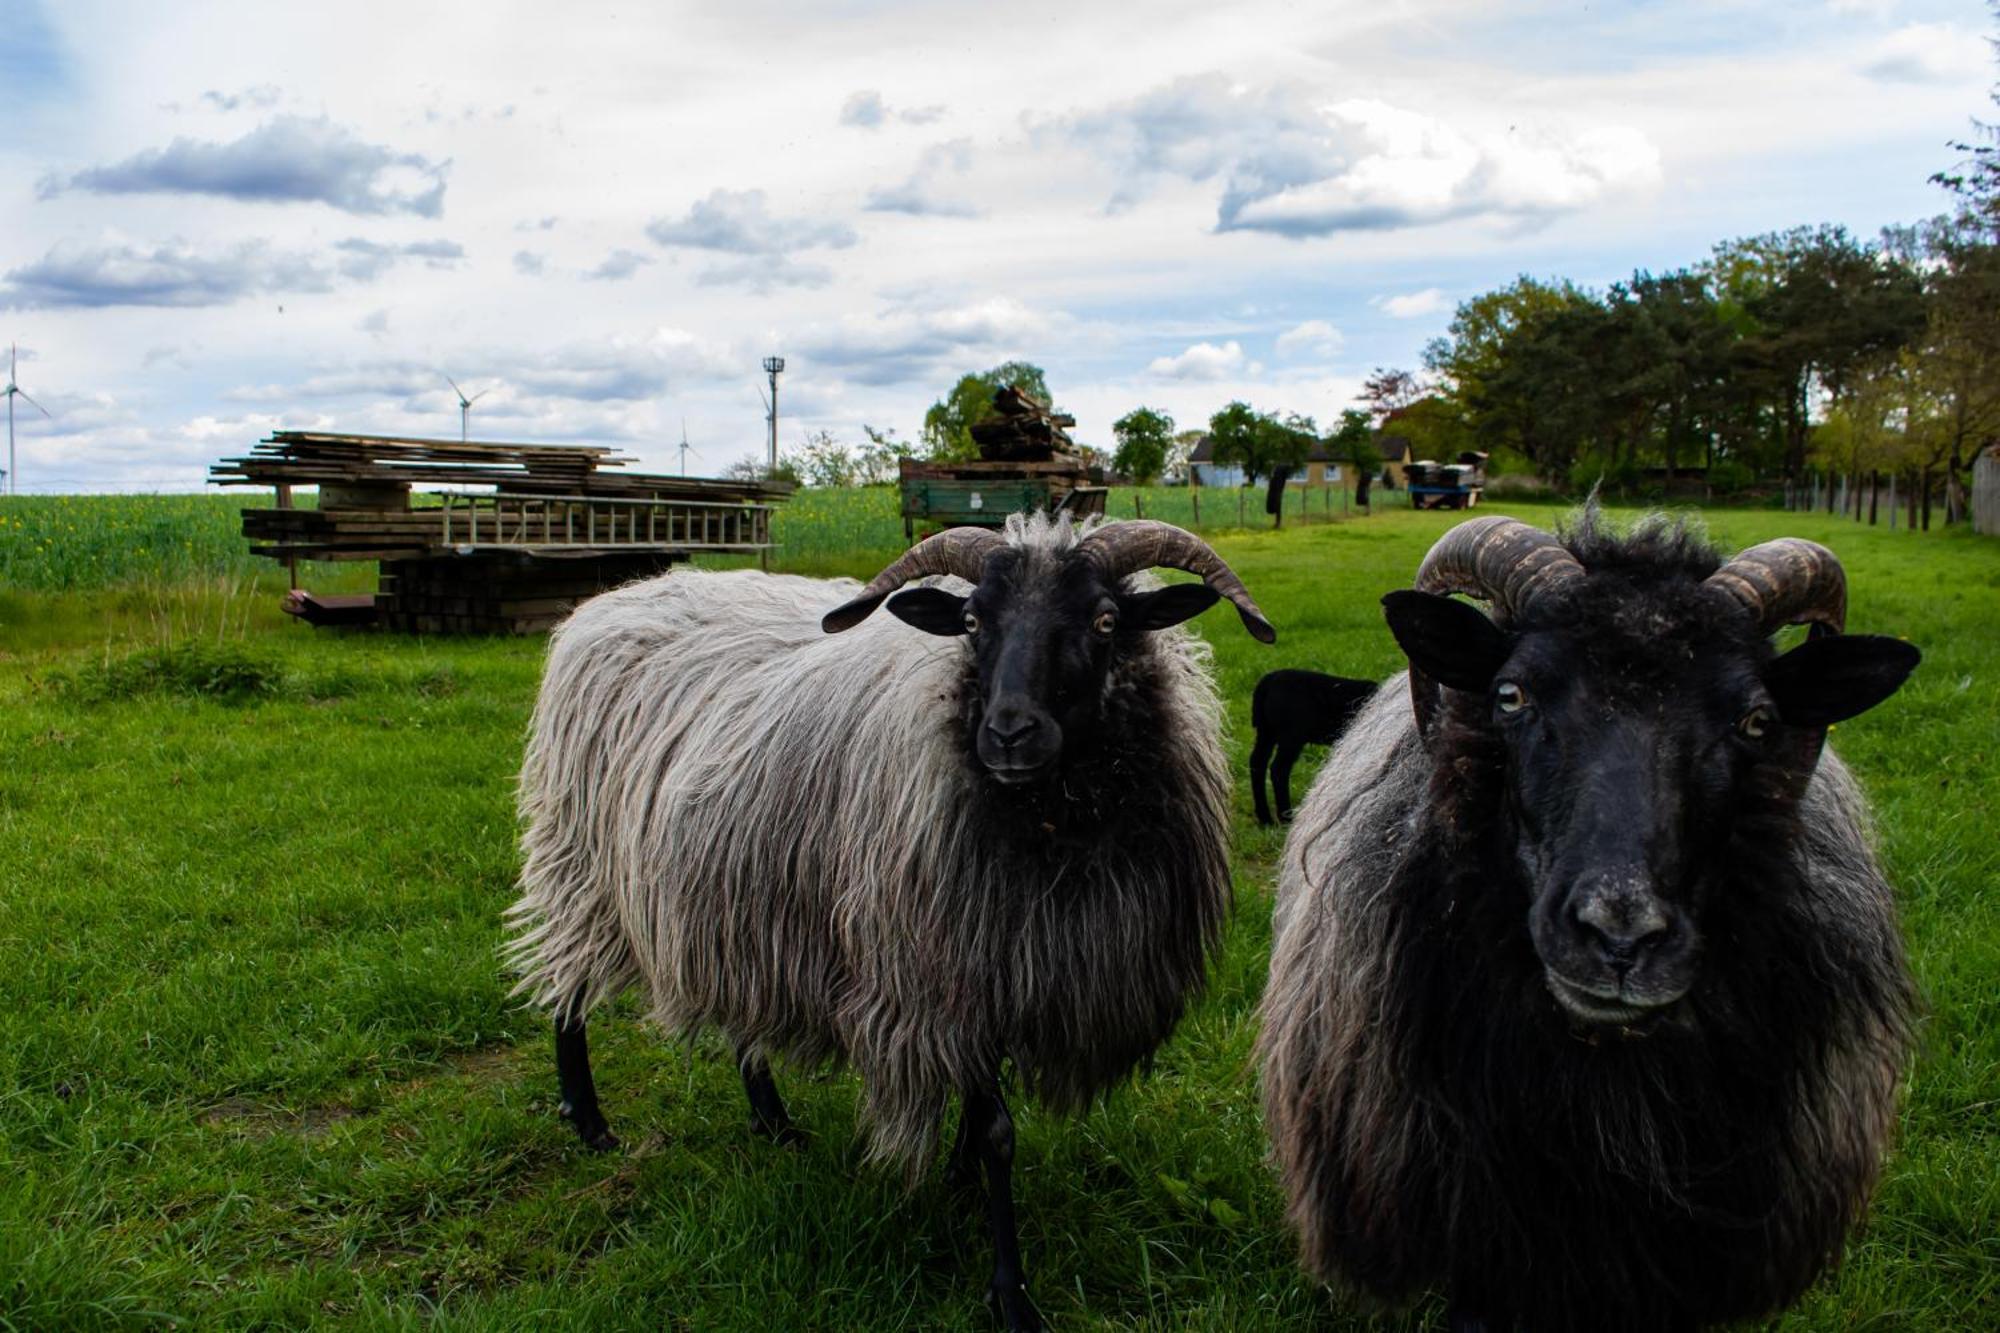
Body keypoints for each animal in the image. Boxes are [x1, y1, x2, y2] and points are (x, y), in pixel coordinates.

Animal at [508, 510, 1272, 1328]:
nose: (1008, 733)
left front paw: (960, 1183)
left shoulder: (1002, 963)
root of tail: (612, 599)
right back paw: (590, 1122)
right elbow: (998, 1132)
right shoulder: (941, 971)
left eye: (1105, 620)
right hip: (580, 861)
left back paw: (775, 1124)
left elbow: (980, 1113)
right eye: (971, 622)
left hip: (739, 898)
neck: (1052, 822)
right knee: (566, 989)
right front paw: (1010, 1291)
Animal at [1248, 664, 1376, 820]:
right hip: (1291, 734)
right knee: (1279, 769)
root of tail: (1268, 680)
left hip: (1266, 730)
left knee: (1257, 762)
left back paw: (1265, 817)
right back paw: (1286, 816)